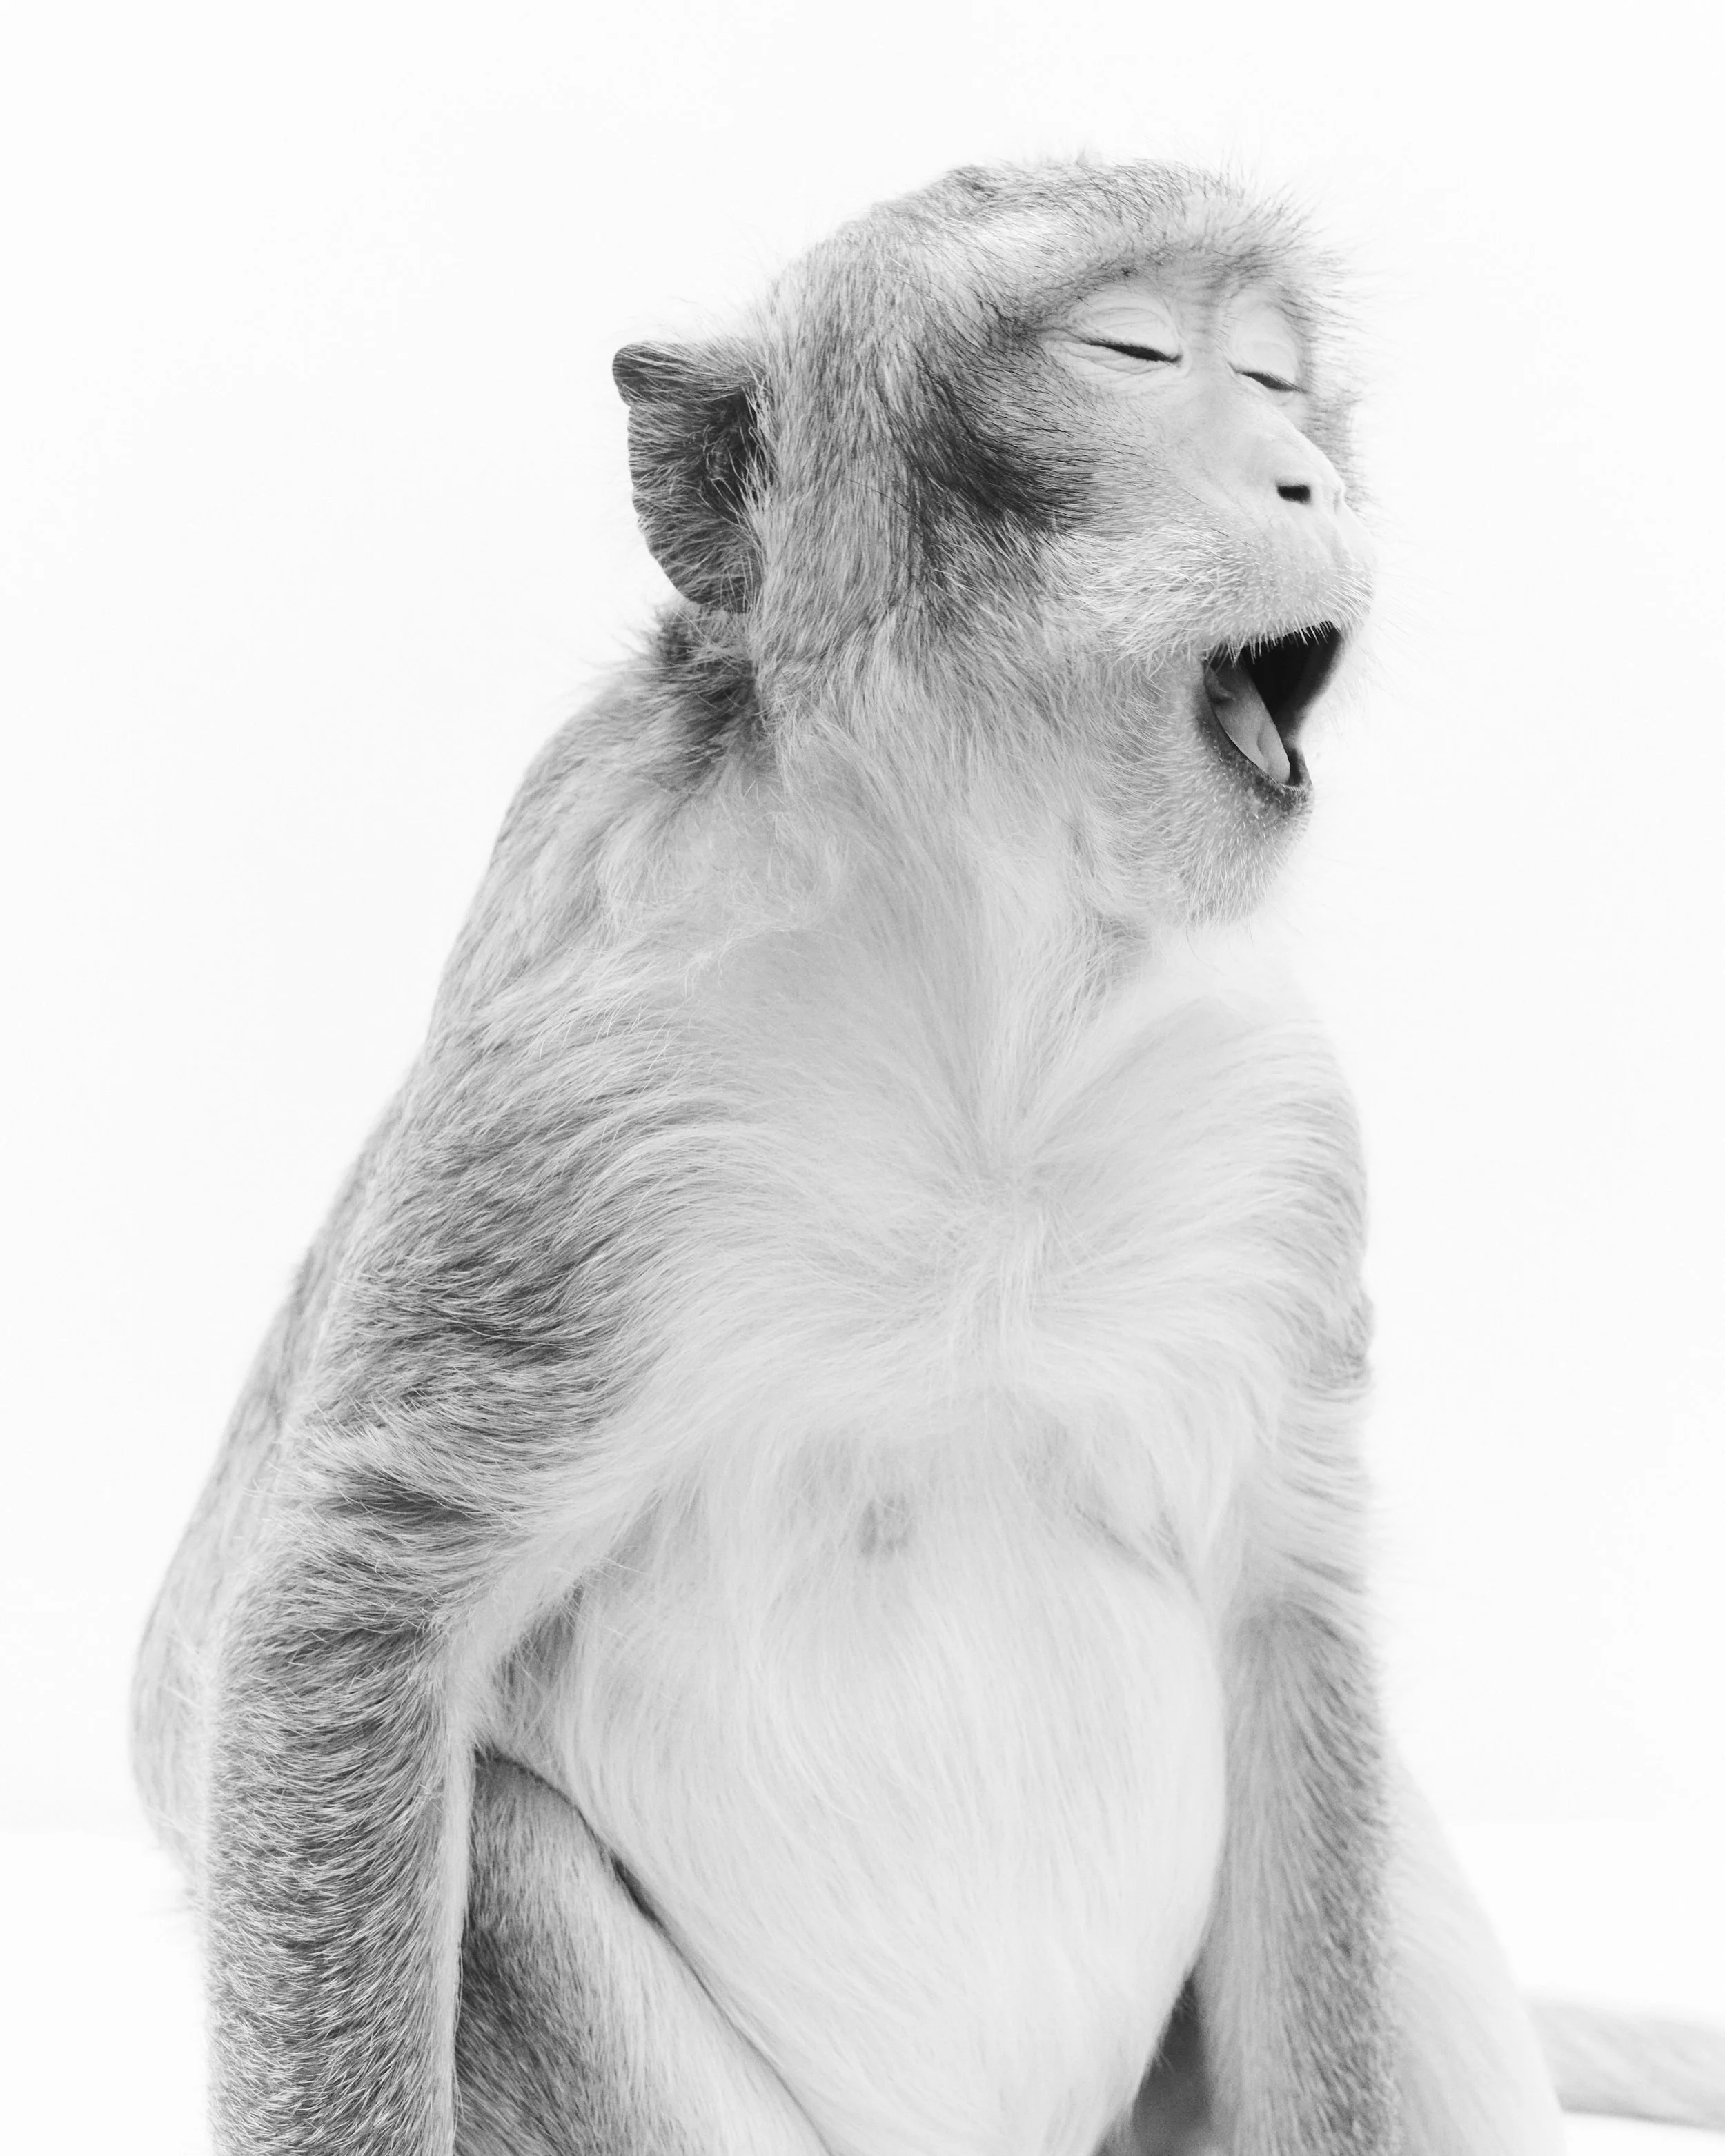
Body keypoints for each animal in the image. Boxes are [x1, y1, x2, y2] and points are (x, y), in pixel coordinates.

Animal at [131, 159, 1725, 2156]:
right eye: (1133, 357)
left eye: (1276, 381)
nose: (1311, 478)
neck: (993, 992)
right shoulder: (568, 1100)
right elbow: (308, 1627)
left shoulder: (1273, 1120)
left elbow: (1290, 1593)